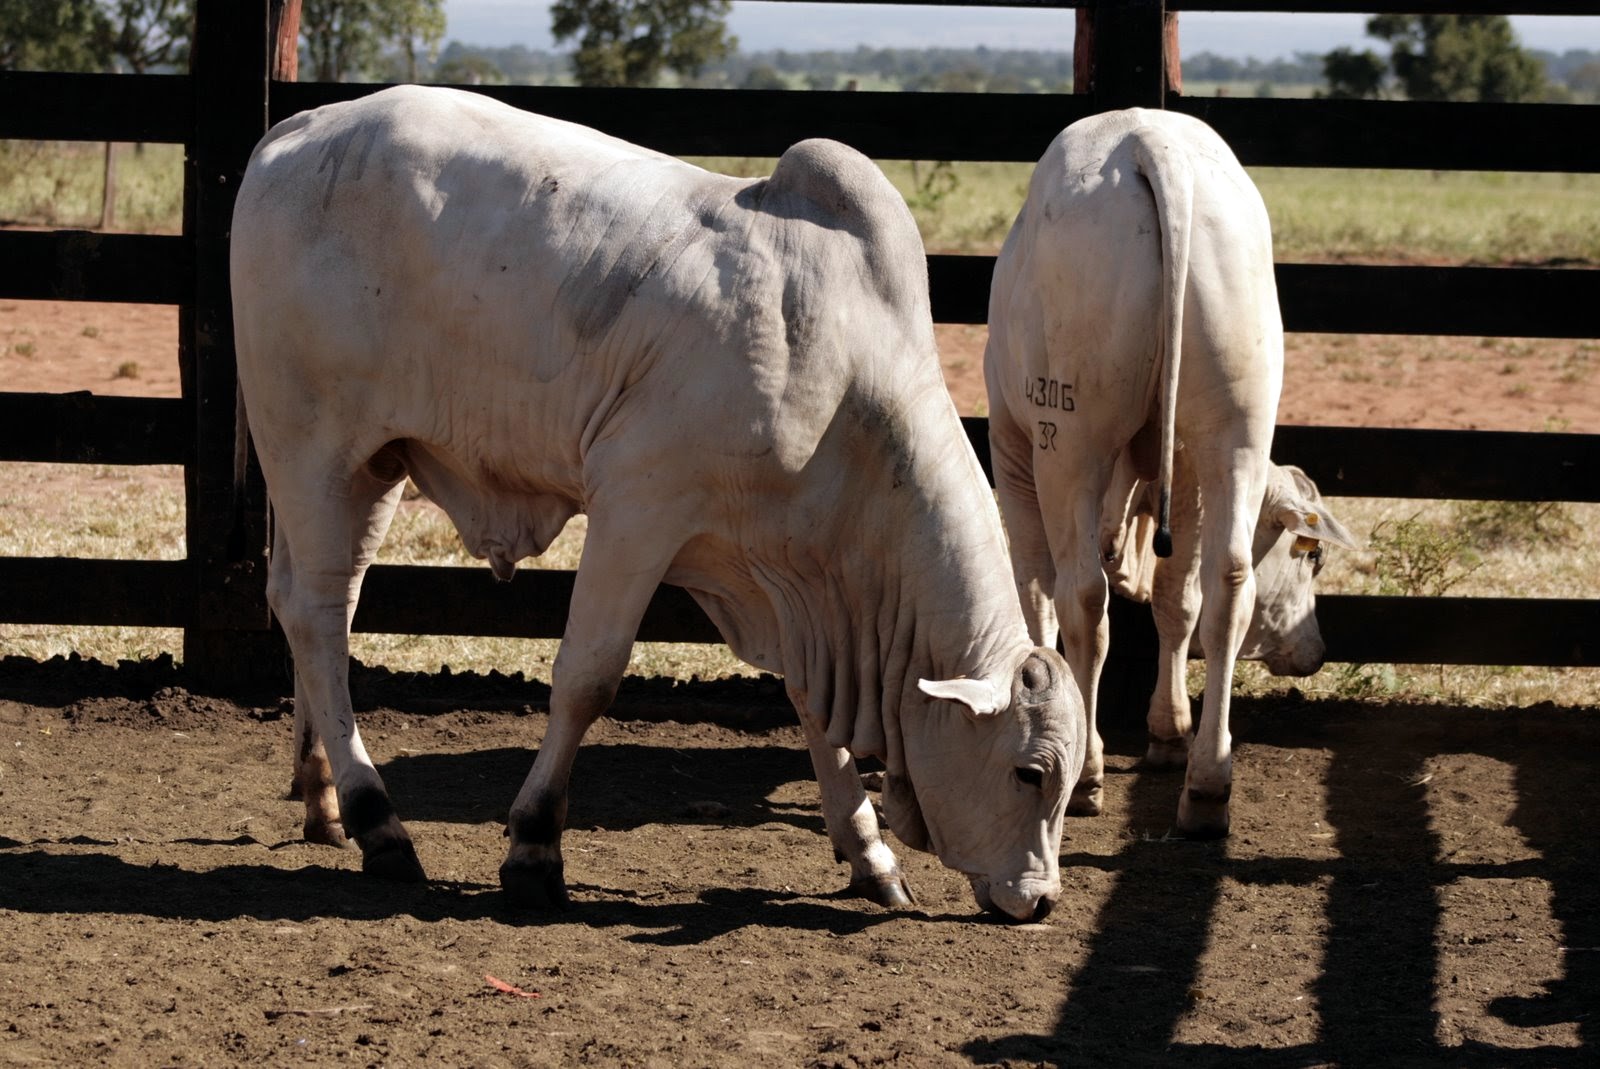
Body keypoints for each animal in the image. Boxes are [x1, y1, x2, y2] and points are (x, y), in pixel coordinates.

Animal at [232, 85, 1088, 921]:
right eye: (1029, 772)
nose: (1042, 899)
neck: (848, 382)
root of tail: (297, 129)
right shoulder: (638, 502)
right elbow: (589, 675)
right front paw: (534, 848)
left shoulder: (793, 580)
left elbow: (812, 707)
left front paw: (870, 854)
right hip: (313, 450)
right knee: (315, 614)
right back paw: (378, 821)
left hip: (373, 464)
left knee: (321, 605)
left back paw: (323, 797)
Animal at [985, 110, 1299, 844]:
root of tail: (1151, 141)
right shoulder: (1185, 473)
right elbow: (1176, 598)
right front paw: (1169, 731)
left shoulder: (1011, 453)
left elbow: (1035, 592)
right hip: (1235, 432)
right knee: (1226, 583)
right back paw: (1208, 784)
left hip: (1067, 442)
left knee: (1081, 596)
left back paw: (1089, 771)